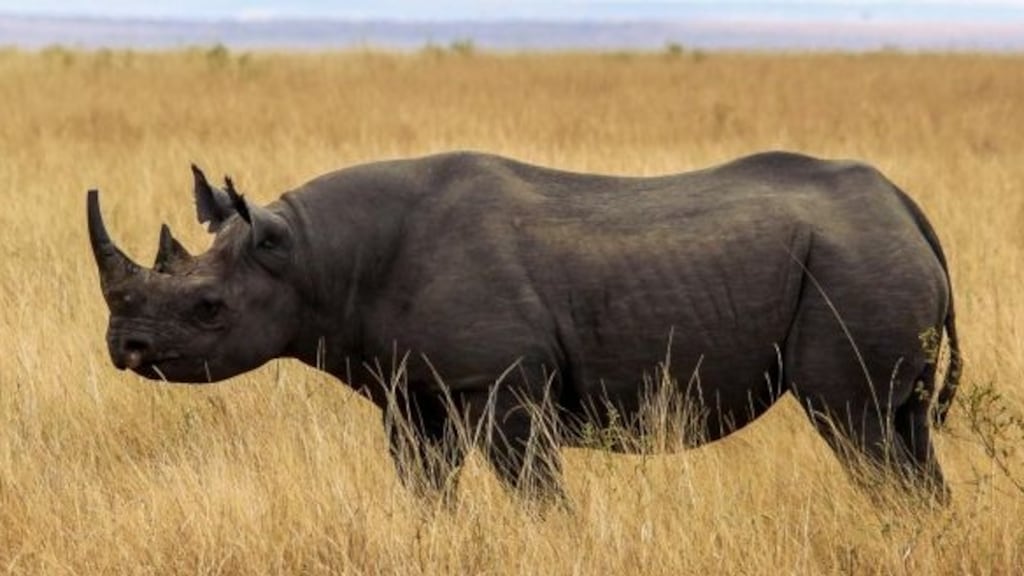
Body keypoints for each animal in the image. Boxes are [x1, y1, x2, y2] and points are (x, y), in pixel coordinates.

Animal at [88, 151, 961, 503]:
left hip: (853, 264)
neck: (312, 256)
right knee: (904, 432)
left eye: (208, 308)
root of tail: (908, 209)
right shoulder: (413, 390)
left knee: (855, 427)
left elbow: (533, 488)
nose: (123, 349)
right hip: (866, 256)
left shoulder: (501, 382)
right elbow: (424, 484)